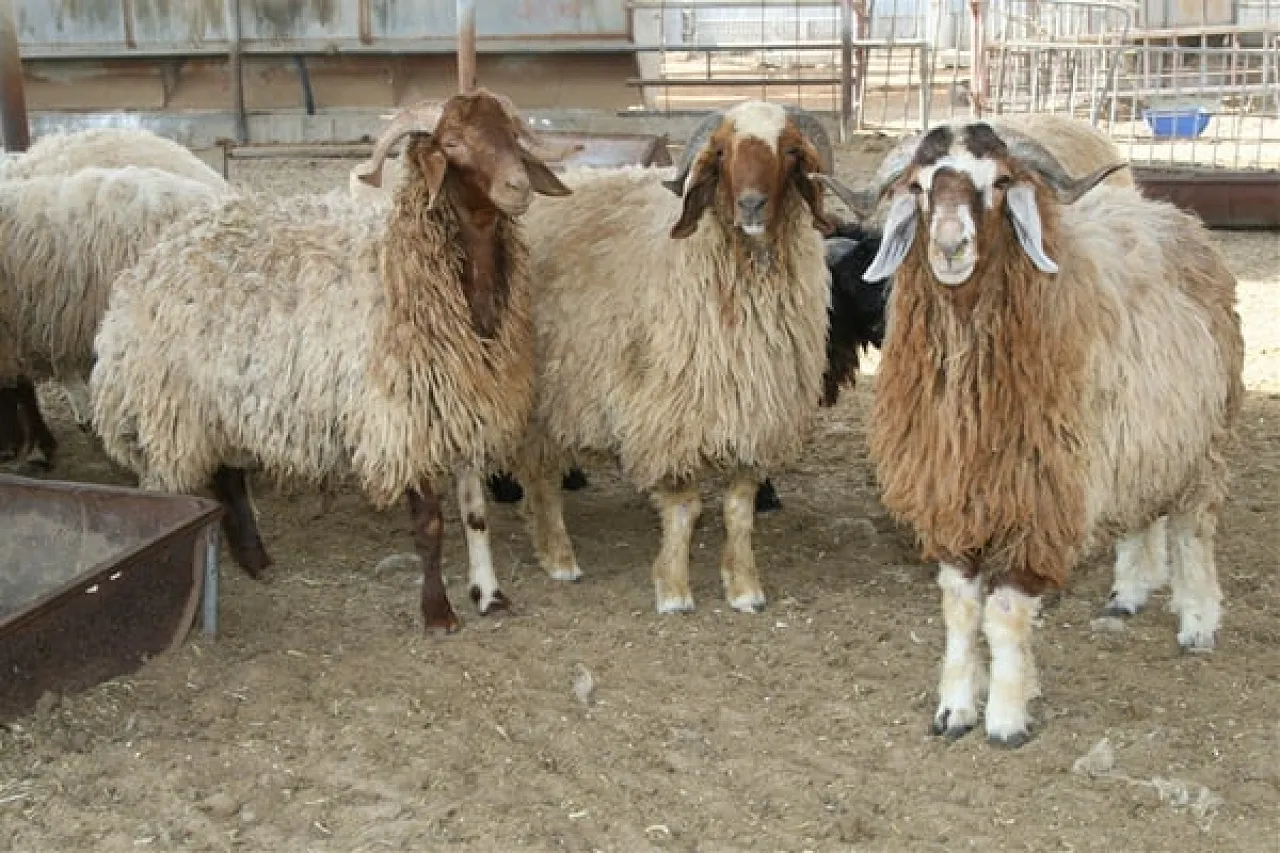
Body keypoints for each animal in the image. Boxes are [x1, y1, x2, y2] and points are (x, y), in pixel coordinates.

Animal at [90, 90, 576, 632]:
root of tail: (154, 258)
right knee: (177, 488)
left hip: (223, 401)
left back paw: (256, 561)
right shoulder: (402, 418)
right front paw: (438, 613)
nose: (517, 187)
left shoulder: (462, 404)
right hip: (173, 407)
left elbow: (475, 514)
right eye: (452, 143)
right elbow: (429, 525)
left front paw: (489, 594)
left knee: (229, 476)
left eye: (511, 135)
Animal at [510, 101, 836, 615]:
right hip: (540, 393)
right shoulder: (668, 411)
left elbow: (739, 510)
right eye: (721, 151)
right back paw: (560, 557)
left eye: (789, 151)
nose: (750, 205)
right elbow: (684, 508)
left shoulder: (756, 414)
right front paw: (674, 590)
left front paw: (744, 588)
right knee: (540, 474)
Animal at [846, 119, 1243, 747]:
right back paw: (1128, 594)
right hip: (1141, 443)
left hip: (1204, 442)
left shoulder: (1038, 502)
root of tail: (1174, 217)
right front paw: (954, 708)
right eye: (919, 186)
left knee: (1193, 528)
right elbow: (961, 612)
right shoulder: (956, 502)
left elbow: (1005, 616)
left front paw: (1007, 717)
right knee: (1144, 514)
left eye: (1001, 182)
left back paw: (1199, 620)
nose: (950, 245)